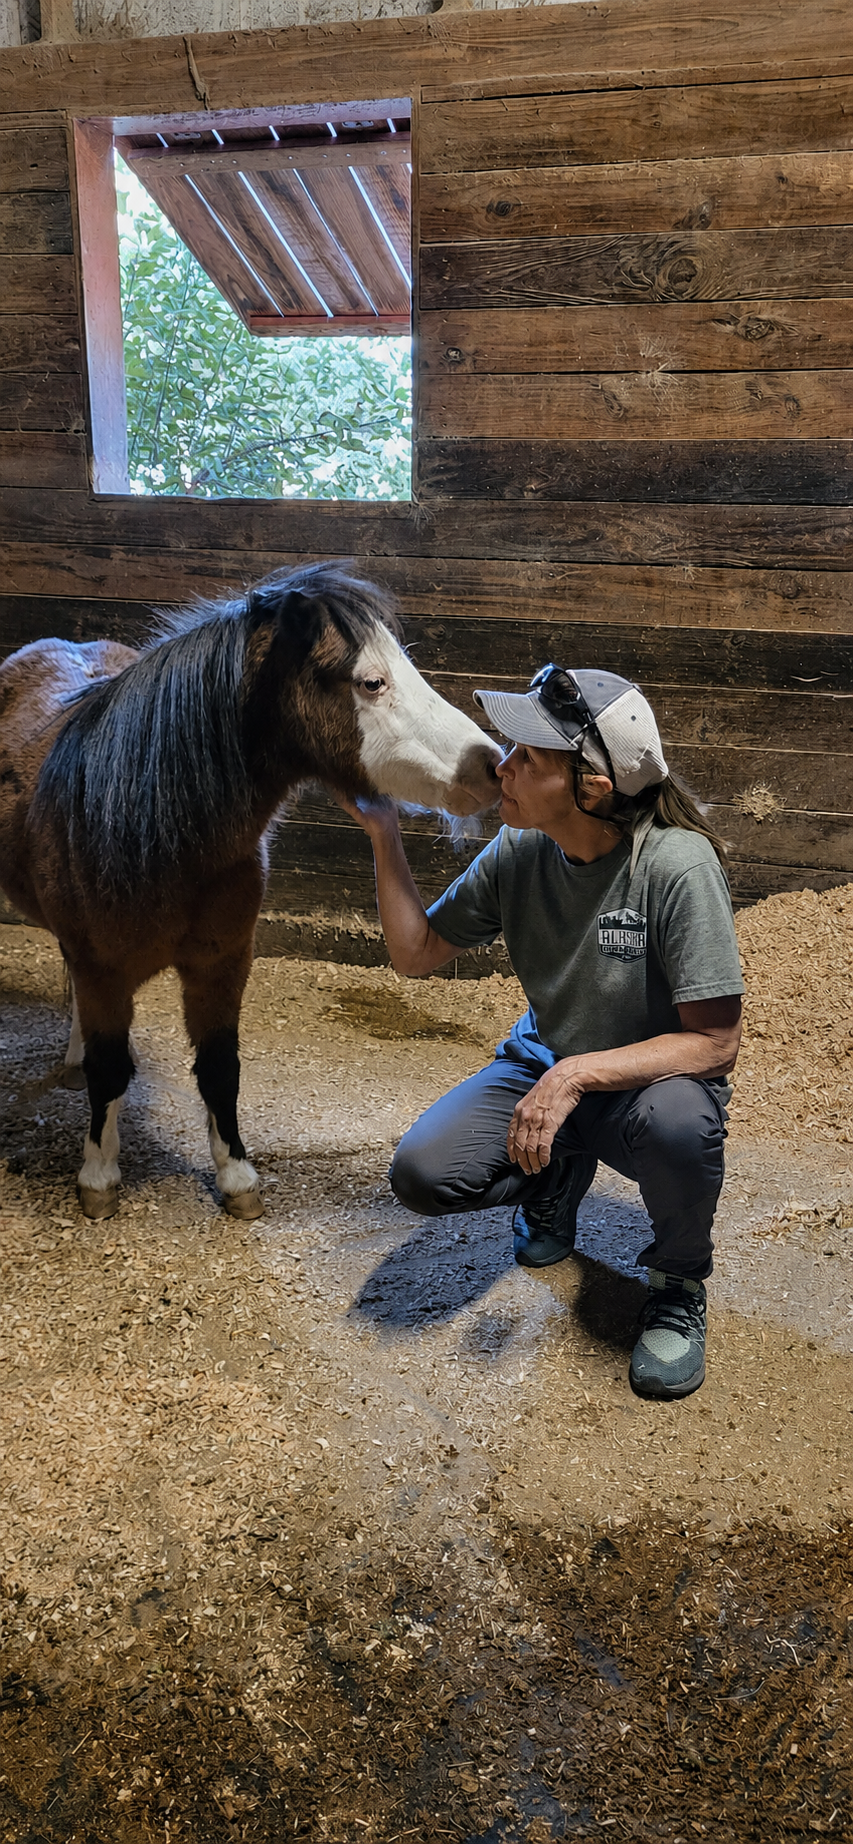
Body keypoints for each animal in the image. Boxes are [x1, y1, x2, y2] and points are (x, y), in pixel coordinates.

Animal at [0, 563, 500, 1221]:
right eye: (372, 682)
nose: (490, 764)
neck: (151, 826)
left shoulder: (221, 964)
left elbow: (219, 1068)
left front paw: (236, 1177)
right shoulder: (103, 968)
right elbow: (110, 1073)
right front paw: (99, 1177)